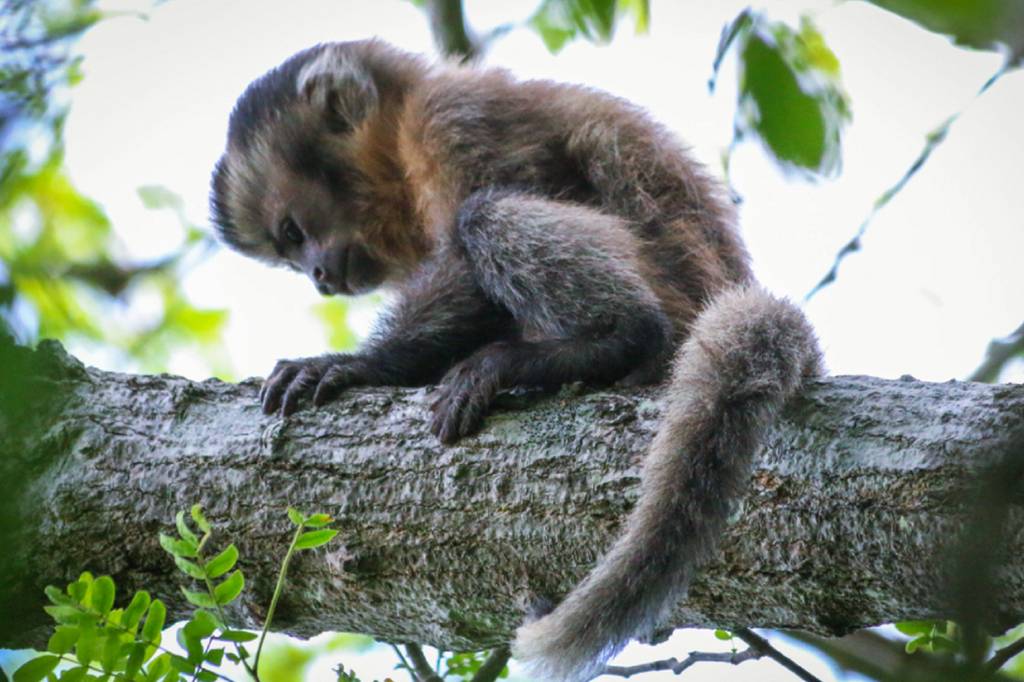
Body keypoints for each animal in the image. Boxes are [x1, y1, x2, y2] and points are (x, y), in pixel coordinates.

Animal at [209, 39, 823, 682]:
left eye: (293, 231)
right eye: (289, 253)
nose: (319, 277)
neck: (400, 133)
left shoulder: (453, 120)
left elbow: (469, 260)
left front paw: (359, 365)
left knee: (486, 213)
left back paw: (615, 340)